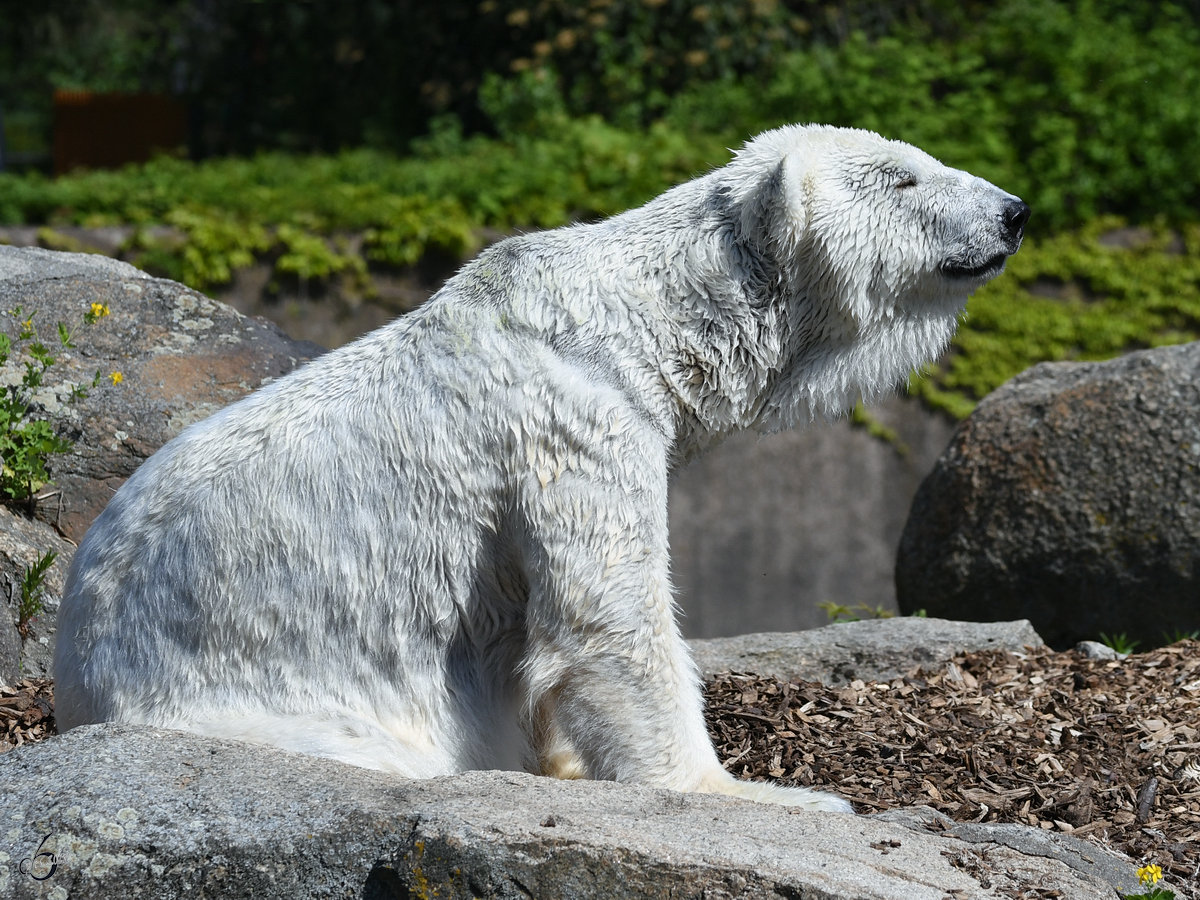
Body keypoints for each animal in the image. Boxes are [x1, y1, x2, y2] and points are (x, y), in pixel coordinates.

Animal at [56, 123, 1027, 816]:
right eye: (901, 177)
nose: (1014, 211)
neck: (645, 326)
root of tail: (72, 688)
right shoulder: (572, 427)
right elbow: (610, 613)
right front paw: (758, 793)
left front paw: (559, 762)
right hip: (241, 696)